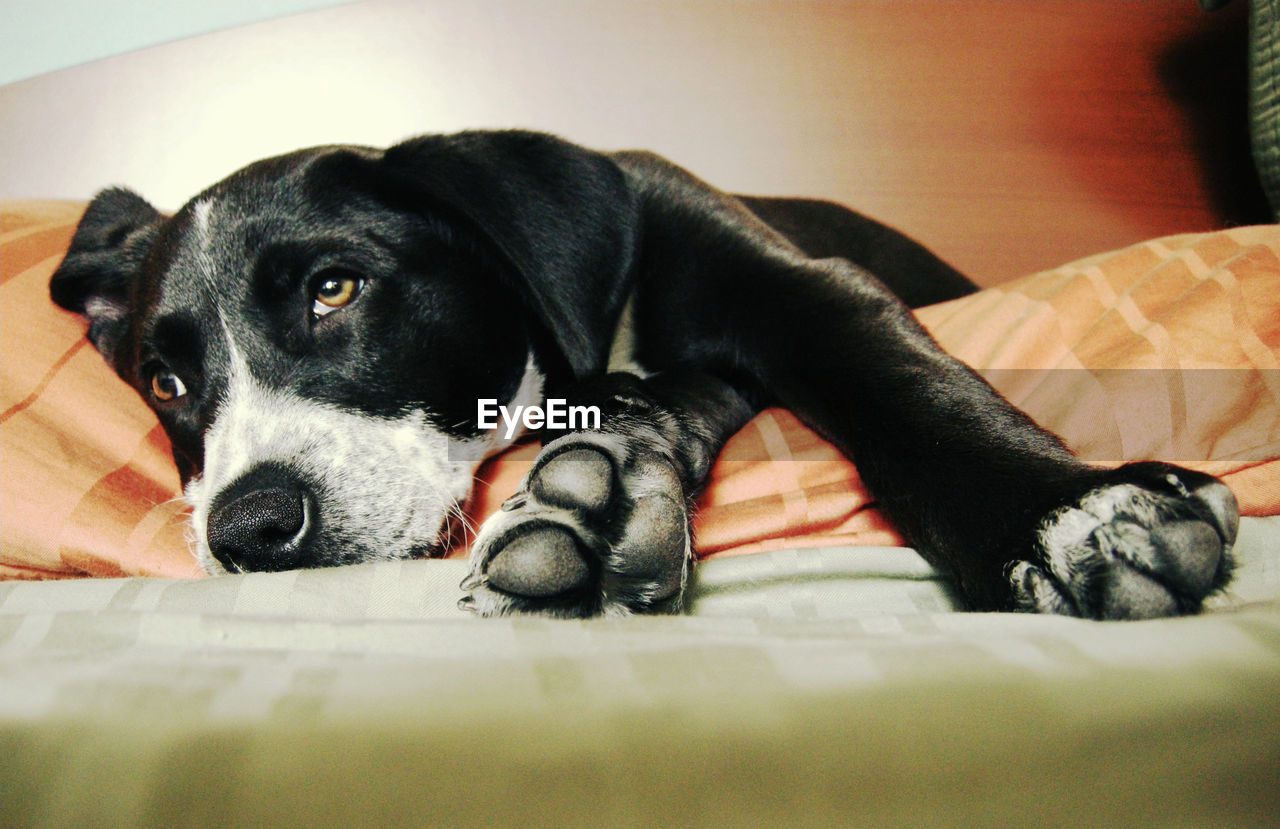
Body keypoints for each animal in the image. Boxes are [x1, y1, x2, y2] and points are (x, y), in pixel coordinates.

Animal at [52, 129, 1239, 619]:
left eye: (335, 289)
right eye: (164, 385)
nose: (249, 530)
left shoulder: (793, 287)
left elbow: (902, 382)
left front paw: (1060, 516)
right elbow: (654, 413)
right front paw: (597, 500)